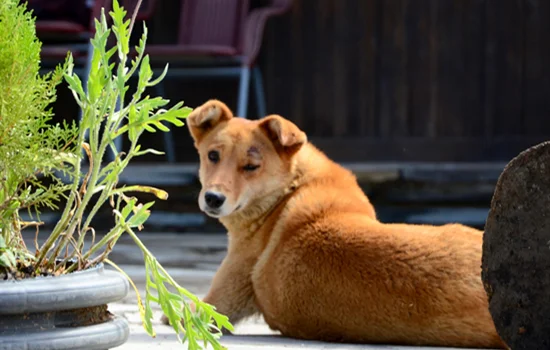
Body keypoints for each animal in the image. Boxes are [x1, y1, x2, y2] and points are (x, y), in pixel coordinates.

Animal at [163, 100, 504, 348]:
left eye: (251, 167)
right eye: (213, 156)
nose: (213, 198)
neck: (287, 192)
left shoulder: (217, 303)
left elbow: (188, 309)